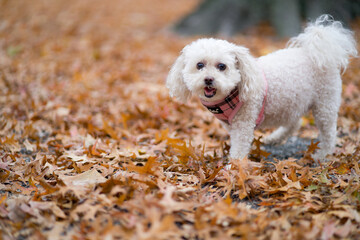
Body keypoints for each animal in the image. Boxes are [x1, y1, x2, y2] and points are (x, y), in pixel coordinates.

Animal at [167, 15, 358, 163]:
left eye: (222, 66)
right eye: (199, 65)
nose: (208, 79)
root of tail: (319, 52)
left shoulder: (244, 123)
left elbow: (239, 149)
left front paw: (234, 169)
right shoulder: (232, 125)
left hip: (325, 103)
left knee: (329, 132)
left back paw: (323, 154)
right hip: (292, 101)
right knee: (294, 123)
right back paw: (275, 138)